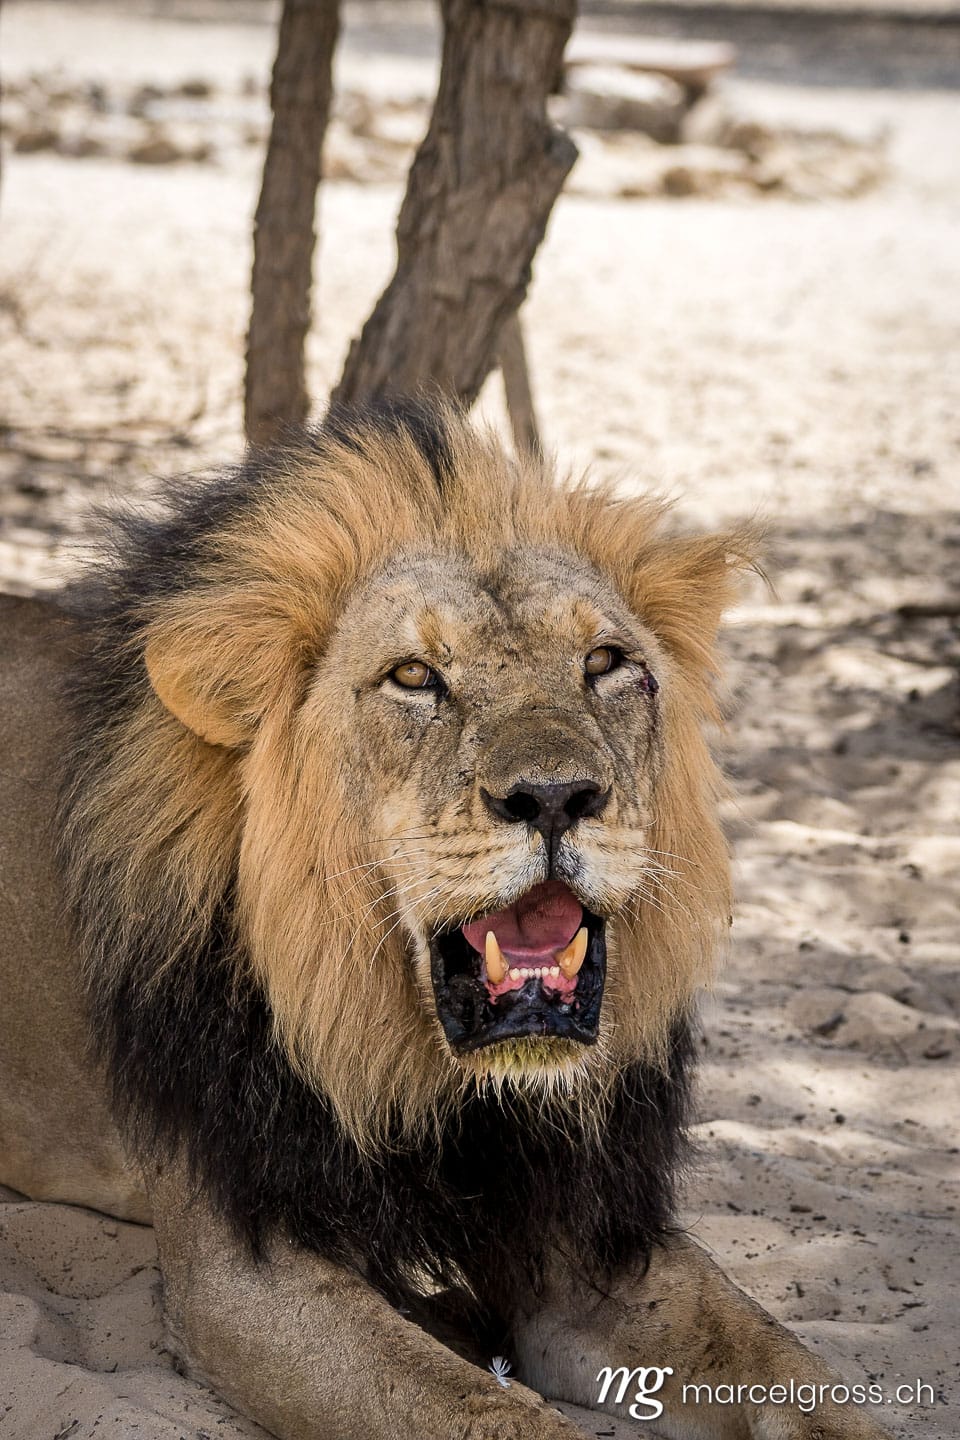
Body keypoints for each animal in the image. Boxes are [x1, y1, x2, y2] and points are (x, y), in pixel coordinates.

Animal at [0, 400, 888, 1440]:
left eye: (607, 663)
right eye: (415, 677)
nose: (555, 796)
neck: (450, 1089)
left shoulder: (588, 1234)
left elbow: (796, 1373)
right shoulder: (245, 1272)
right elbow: (488, 1413)